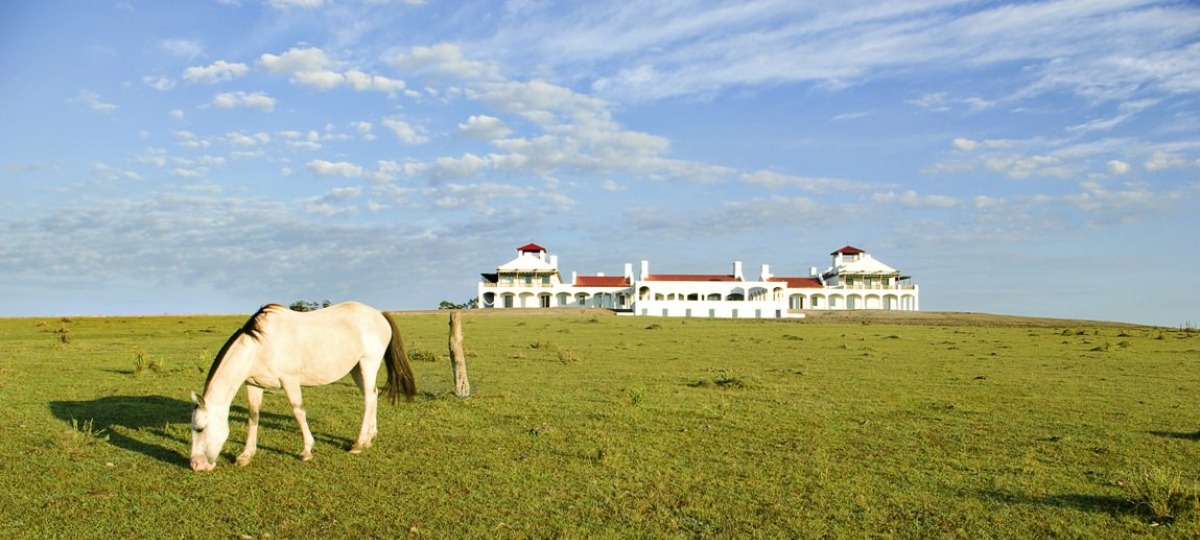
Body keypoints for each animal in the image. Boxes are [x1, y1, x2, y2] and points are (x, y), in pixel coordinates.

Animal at [186, 301, 412, 470]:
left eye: (200, 428)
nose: (196, 465)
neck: (261, 345)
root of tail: (379, 314)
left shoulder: (289, 380)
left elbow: (298, 411)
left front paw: (307, 451)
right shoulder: (253, 384)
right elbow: (253, 415)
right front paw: (246, 454)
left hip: (368, 364)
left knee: (368, 399)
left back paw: (358, 443)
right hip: (356, 368)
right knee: (371, 395)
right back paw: (369, 438)